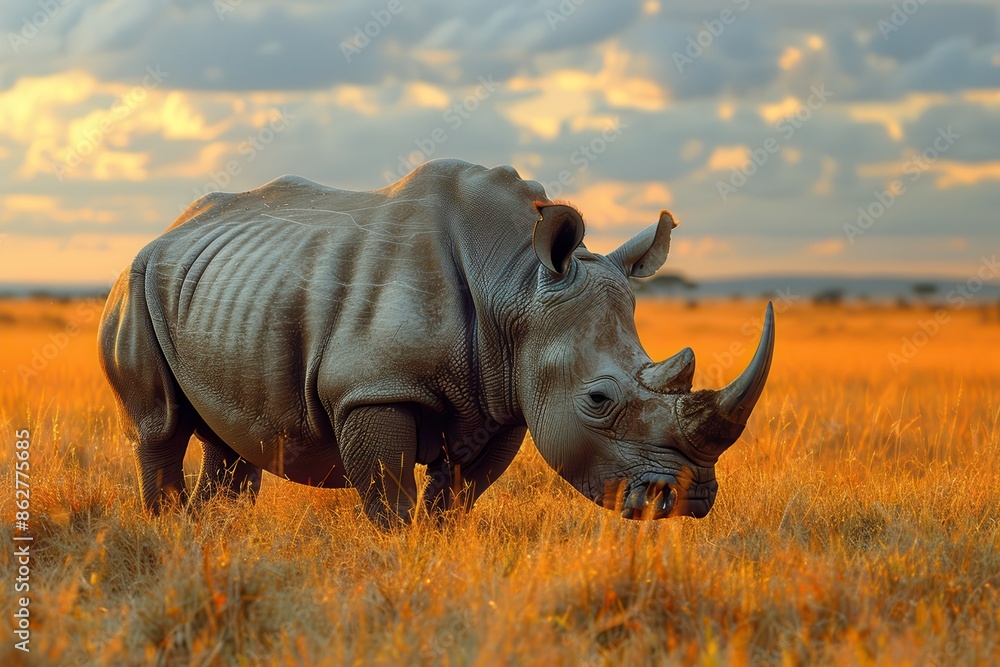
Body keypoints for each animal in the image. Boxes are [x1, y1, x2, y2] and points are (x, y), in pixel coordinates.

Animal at [98, 158, 773, 526]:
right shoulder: (373, 388)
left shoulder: (503, 397)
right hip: (134, 283)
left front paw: (439, 547)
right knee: (160, 426)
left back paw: (215, 531)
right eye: (598, 400)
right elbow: (391, 499)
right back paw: (169, 526)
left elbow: (459, 496)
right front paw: (400, 559)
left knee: (229, 434)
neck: (517, 283)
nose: (687, 500)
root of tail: (167, 229)